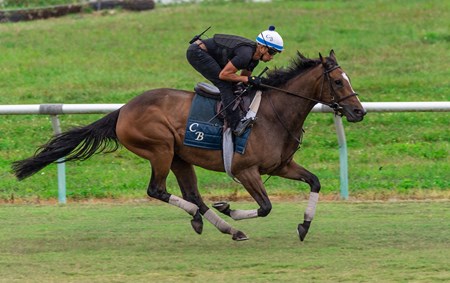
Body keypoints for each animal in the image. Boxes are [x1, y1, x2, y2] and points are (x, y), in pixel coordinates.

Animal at [12, 50, 368, 242]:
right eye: (339, 81)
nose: (358, 112)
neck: (273, 113)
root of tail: (122, 110)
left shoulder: (281, 166)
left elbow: (315, 181)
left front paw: (304, 226)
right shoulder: (245, 170)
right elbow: (266, 206)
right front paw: (230, 208)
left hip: (180, 157)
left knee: (193, 195)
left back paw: (222, 227)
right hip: (160, 149)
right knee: (158, 190)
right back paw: (214, 220)